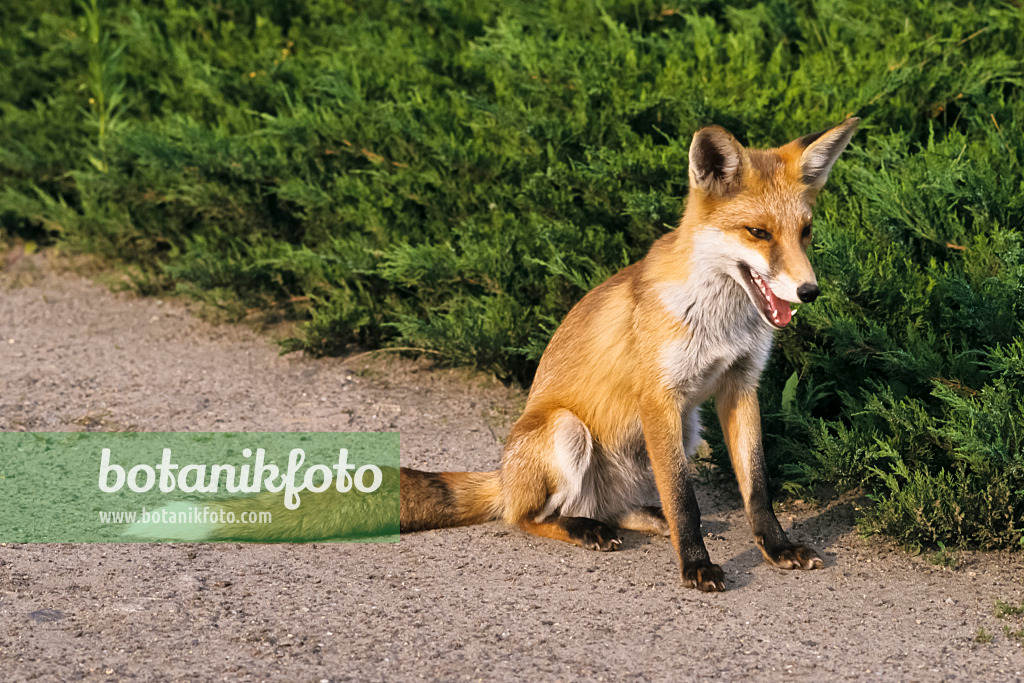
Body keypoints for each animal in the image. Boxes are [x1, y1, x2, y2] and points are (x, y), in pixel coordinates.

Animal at [182, 117, 856, 593]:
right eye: (758, 234)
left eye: (805, 233)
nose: (809, 291)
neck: (717, 321)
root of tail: (502, 477)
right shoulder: (660, 397)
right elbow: (687, 501)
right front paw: (696, 568)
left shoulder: (738, 387)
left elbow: (756, 488)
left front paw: (776, 548)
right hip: (566, 430)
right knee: (527, 517)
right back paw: (584, 530)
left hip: (684, 434)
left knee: (627, 506)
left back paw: (629, 521)